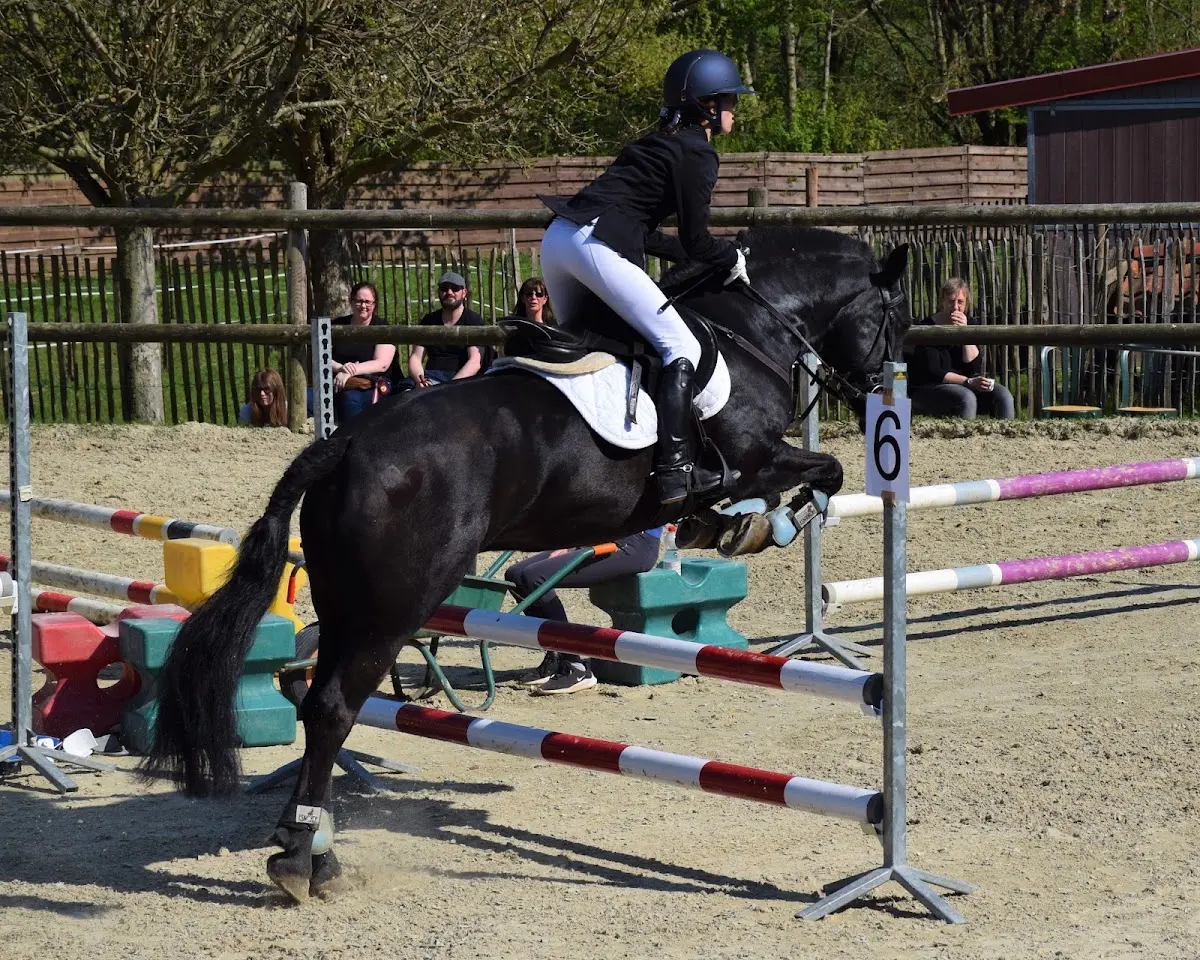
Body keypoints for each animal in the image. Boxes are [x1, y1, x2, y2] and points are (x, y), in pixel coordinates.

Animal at [143, 225, 911, 903]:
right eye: (890, 318)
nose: (881, 387)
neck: (748, 326)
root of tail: (345, 445)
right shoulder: (753, 456)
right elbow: (825, 471)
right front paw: (758, 525)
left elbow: (803, 479)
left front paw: (730, 525)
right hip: (394, 608)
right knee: (332, 707)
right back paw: (306, 860)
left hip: (346, 603)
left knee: (319, 702)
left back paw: (310, 845)